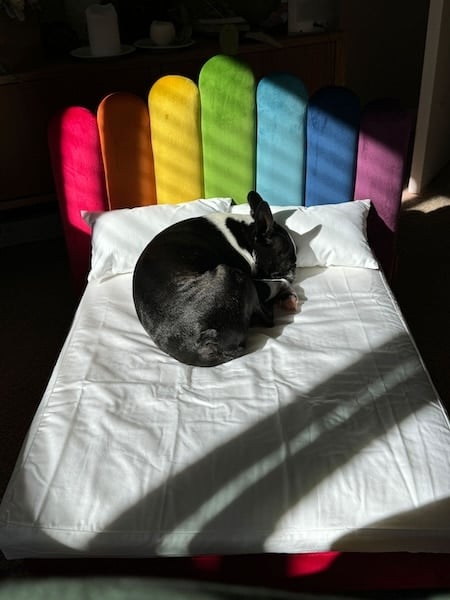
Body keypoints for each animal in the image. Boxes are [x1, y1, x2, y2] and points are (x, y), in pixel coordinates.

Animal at [132, 192, 298, 366]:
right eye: (289, 260)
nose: (295, 269)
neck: (246, 238)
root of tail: (203, 343)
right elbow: (279, 282)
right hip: (233, 274)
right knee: (268, 318)